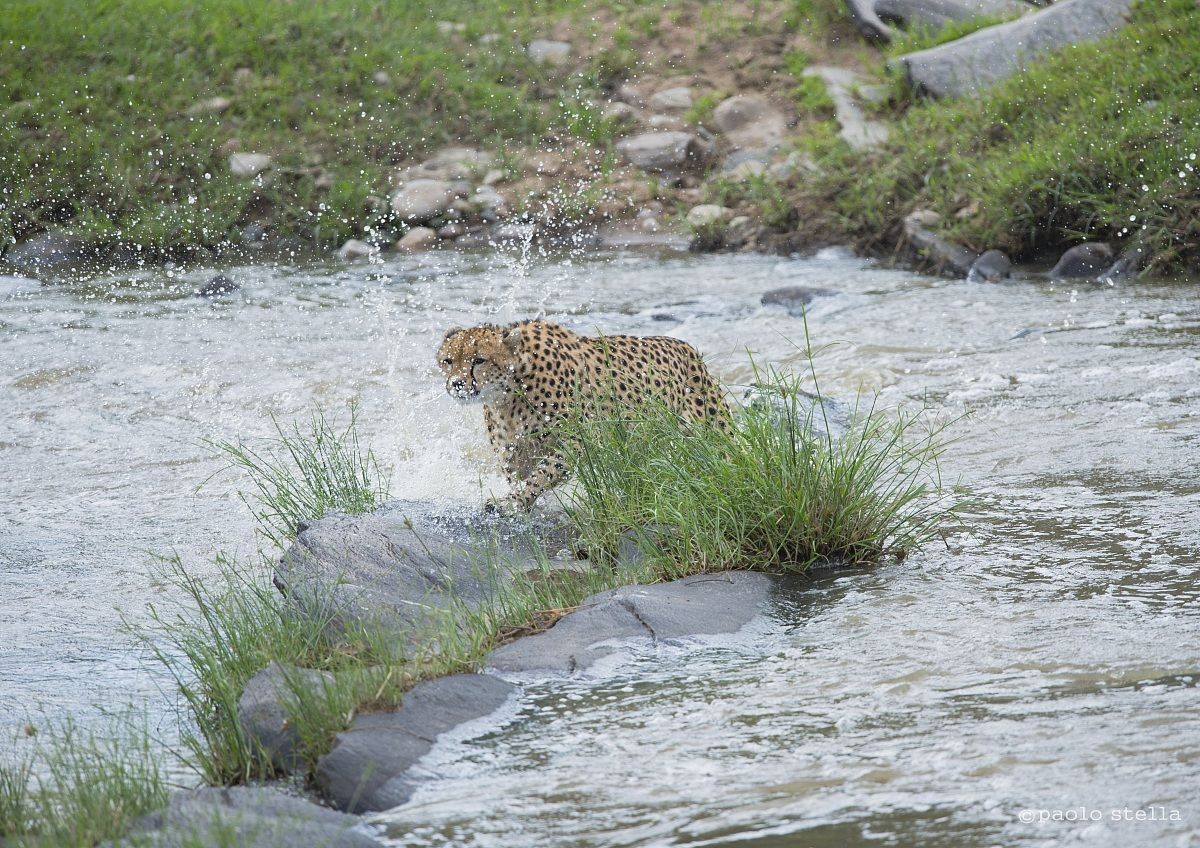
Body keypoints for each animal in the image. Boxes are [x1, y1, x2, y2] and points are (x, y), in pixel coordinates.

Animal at [437, 319, 730, 511]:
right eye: (448, 361)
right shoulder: (514, 454)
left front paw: (515, 502)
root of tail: (686, 346)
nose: (457, 384)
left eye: (479, 360)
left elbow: (543, 474)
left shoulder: (581, 441)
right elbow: (522, 476)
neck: (510, 392)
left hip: (713, 433)